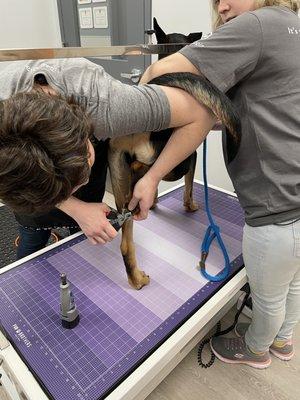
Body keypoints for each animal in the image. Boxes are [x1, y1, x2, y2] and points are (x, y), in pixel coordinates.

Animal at [108, 18, 241, 290]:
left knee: (126, 241)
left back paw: (135, 278)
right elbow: (189, 186)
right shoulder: (191, 157)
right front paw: (189, 205)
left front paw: (154, 202)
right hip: (166, 160)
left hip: (119, 176)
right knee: (145, 172)